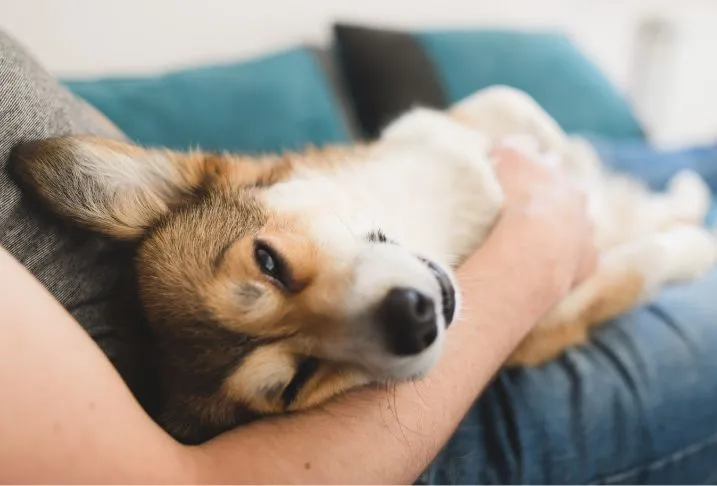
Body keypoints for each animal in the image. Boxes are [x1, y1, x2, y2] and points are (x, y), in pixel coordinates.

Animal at [9, 85, 716, 442]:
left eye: (269, 261)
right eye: (296, 383)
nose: (413, 319)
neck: (441, 232)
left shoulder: (454, 124)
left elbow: (531, 120)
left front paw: (578, 165)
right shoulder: (557, 318)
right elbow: (644, 262)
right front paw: (696, 249)